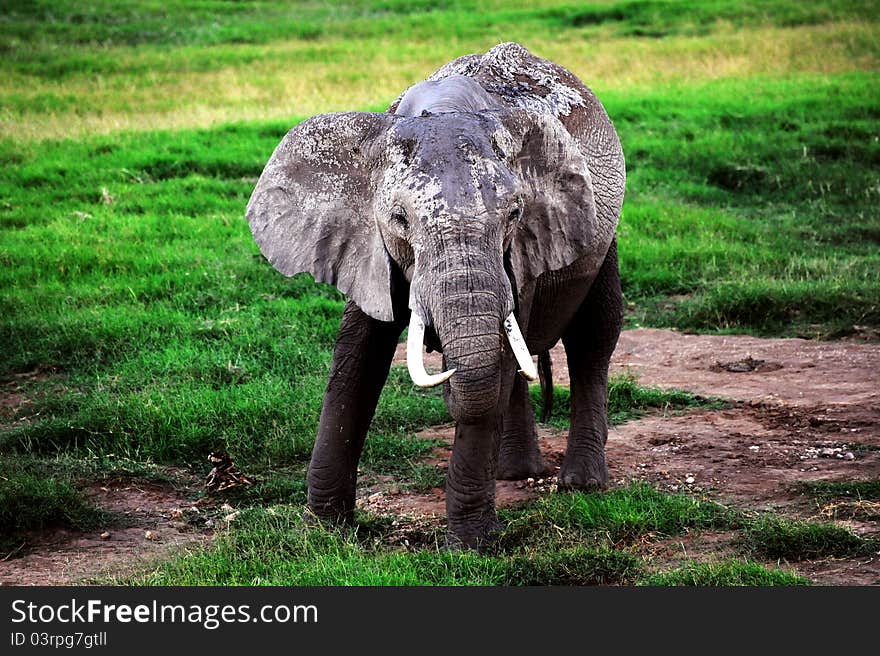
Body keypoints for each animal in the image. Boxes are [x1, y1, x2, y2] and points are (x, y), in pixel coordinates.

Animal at [248, 42, 624, 548]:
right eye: (399, 218)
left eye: (514, 214)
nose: (442, 361)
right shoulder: (367, 245)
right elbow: (356, 358)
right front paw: (324, 531)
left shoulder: (525, 246)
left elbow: (499, 362)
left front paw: (470, 547)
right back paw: (512, 473)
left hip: (599, 237)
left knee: (593, 334)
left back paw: (581, 483)